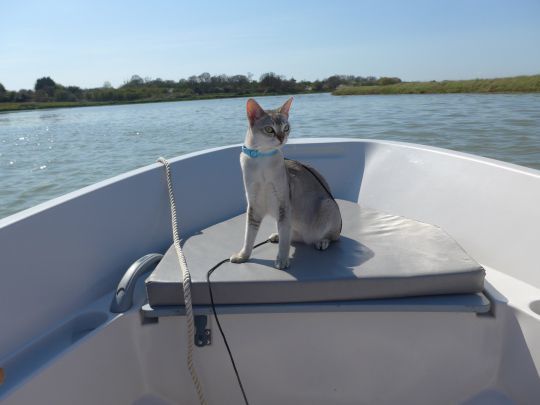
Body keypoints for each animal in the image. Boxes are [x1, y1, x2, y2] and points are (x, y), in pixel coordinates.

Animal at [230, 97, 342, 269]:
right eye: (269, 129)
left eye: (286, 128)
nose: (282, 138)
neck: (261, 159)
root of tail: (307, 238)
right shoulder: (254, 205)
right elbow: (249, 236)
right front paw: (243, 256)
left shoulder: (283, 205)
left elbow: (284, 242)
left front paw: (282, 260)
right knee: (290, 236)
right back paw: (276, 236)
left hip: (328, 204)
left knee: (331, 237)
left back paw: (322, 241)